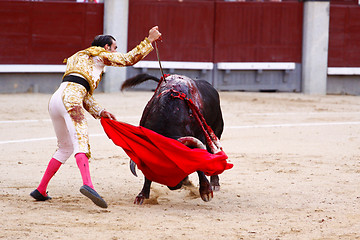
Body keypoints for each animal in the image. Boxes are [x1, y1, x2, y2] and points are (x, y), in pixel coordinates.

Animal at [122, 73, 226, 204]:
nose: (174, 186)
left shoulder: (199, 137)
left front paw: (206, 192)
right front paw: (142, 195)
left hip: (217, 129)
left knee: (213, 151)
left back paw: (214, 183)